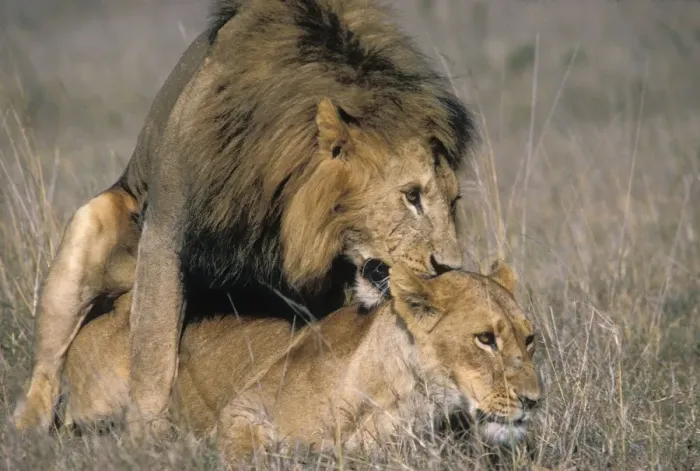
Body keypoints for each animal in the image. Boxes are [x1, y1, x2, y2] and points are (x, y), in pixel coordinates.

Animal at [13, 0, 478, 436]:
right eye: (412, 196)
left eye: (454, 202)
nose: (449, 267)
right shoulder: (165, 233)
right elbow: (153, 349)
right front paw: (146, 438)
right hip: (90, 225)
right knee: (48, 368)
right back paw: (30, 428)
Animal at [60, 261, 542, 465]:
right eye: (485, 339)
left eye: (530, 339)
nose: (535, 401)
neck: (403, 398)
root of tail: (115, 302)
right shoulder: (242, 406)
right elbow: (247, 451)